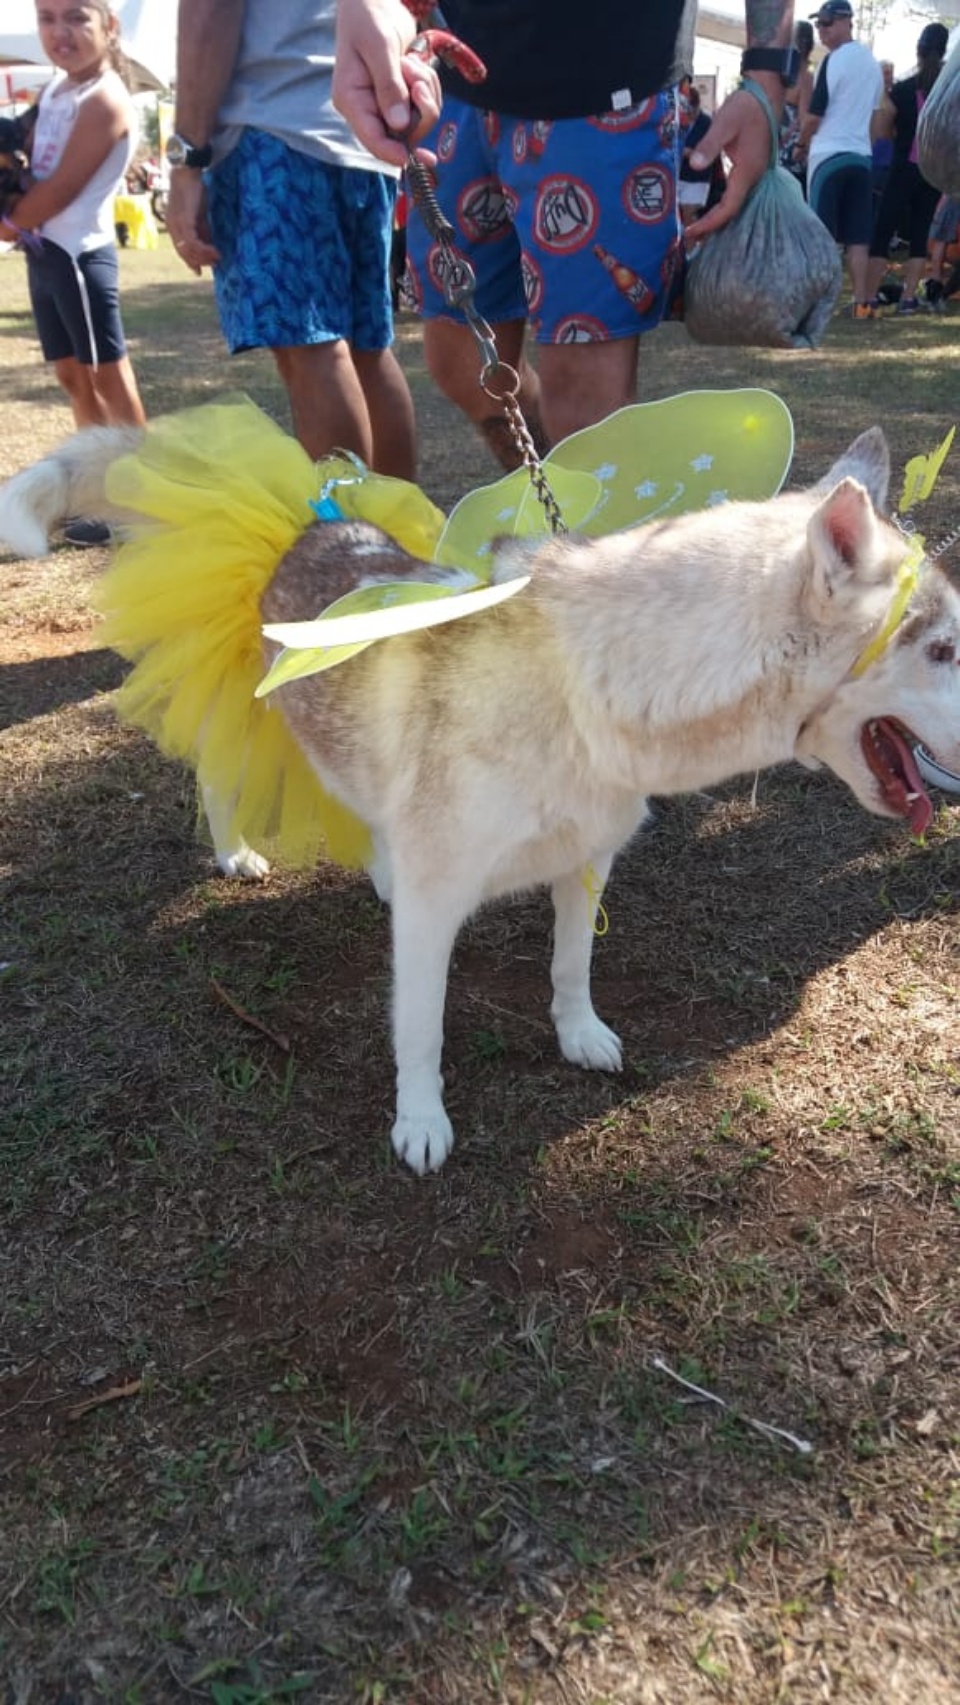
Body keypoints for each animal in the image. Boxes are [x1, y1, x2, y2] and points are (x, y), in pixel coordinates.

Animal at [1, 426, 960, 1173]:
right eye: (943, 649)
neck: (584, 687)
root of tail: (311, 518)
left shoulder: (586, 858)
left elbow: (570, 967)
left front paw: (579, 1035)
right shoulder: (438, 908)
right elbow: (419, 1027)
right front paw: (421, 1122)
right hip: (240, 713)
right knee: (217, 775)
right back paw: (235, 849)